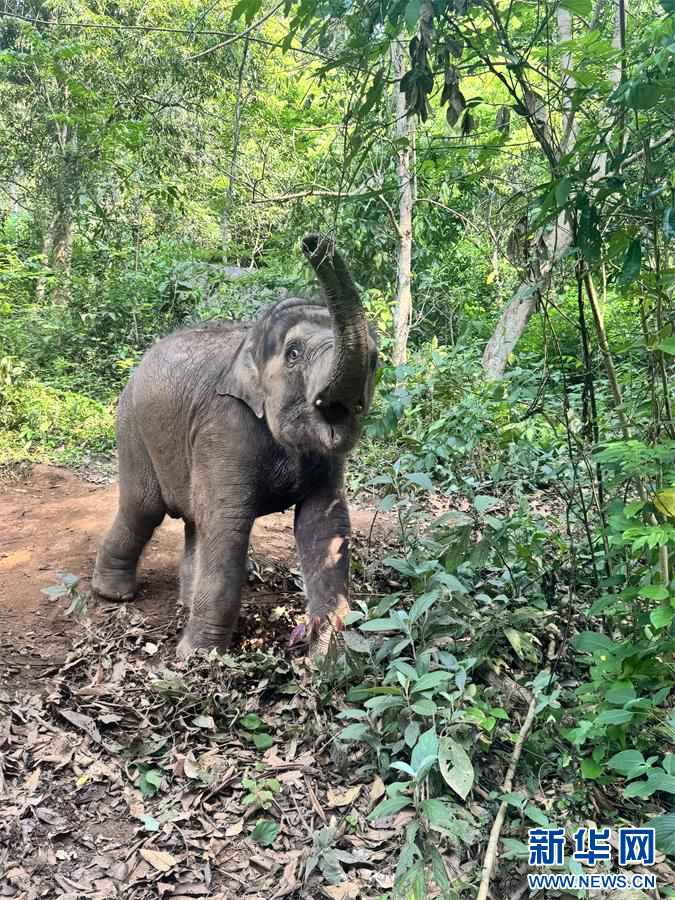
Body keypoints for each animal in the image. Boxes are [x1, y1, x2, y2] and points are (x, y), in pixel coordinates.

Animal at [92, 234, 378, 656]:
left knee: (194, 518)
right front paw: (198, 657)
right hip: (131, 426)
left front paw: (327, 654)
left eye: (375, 361)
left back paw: (185, 602)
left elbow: (323, 522)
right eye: (293, 354)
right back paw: (113, 595)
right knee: (143, 507)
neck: (250, 342)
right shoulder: (224, 424)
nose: (313, 242)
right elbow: (227, 521)